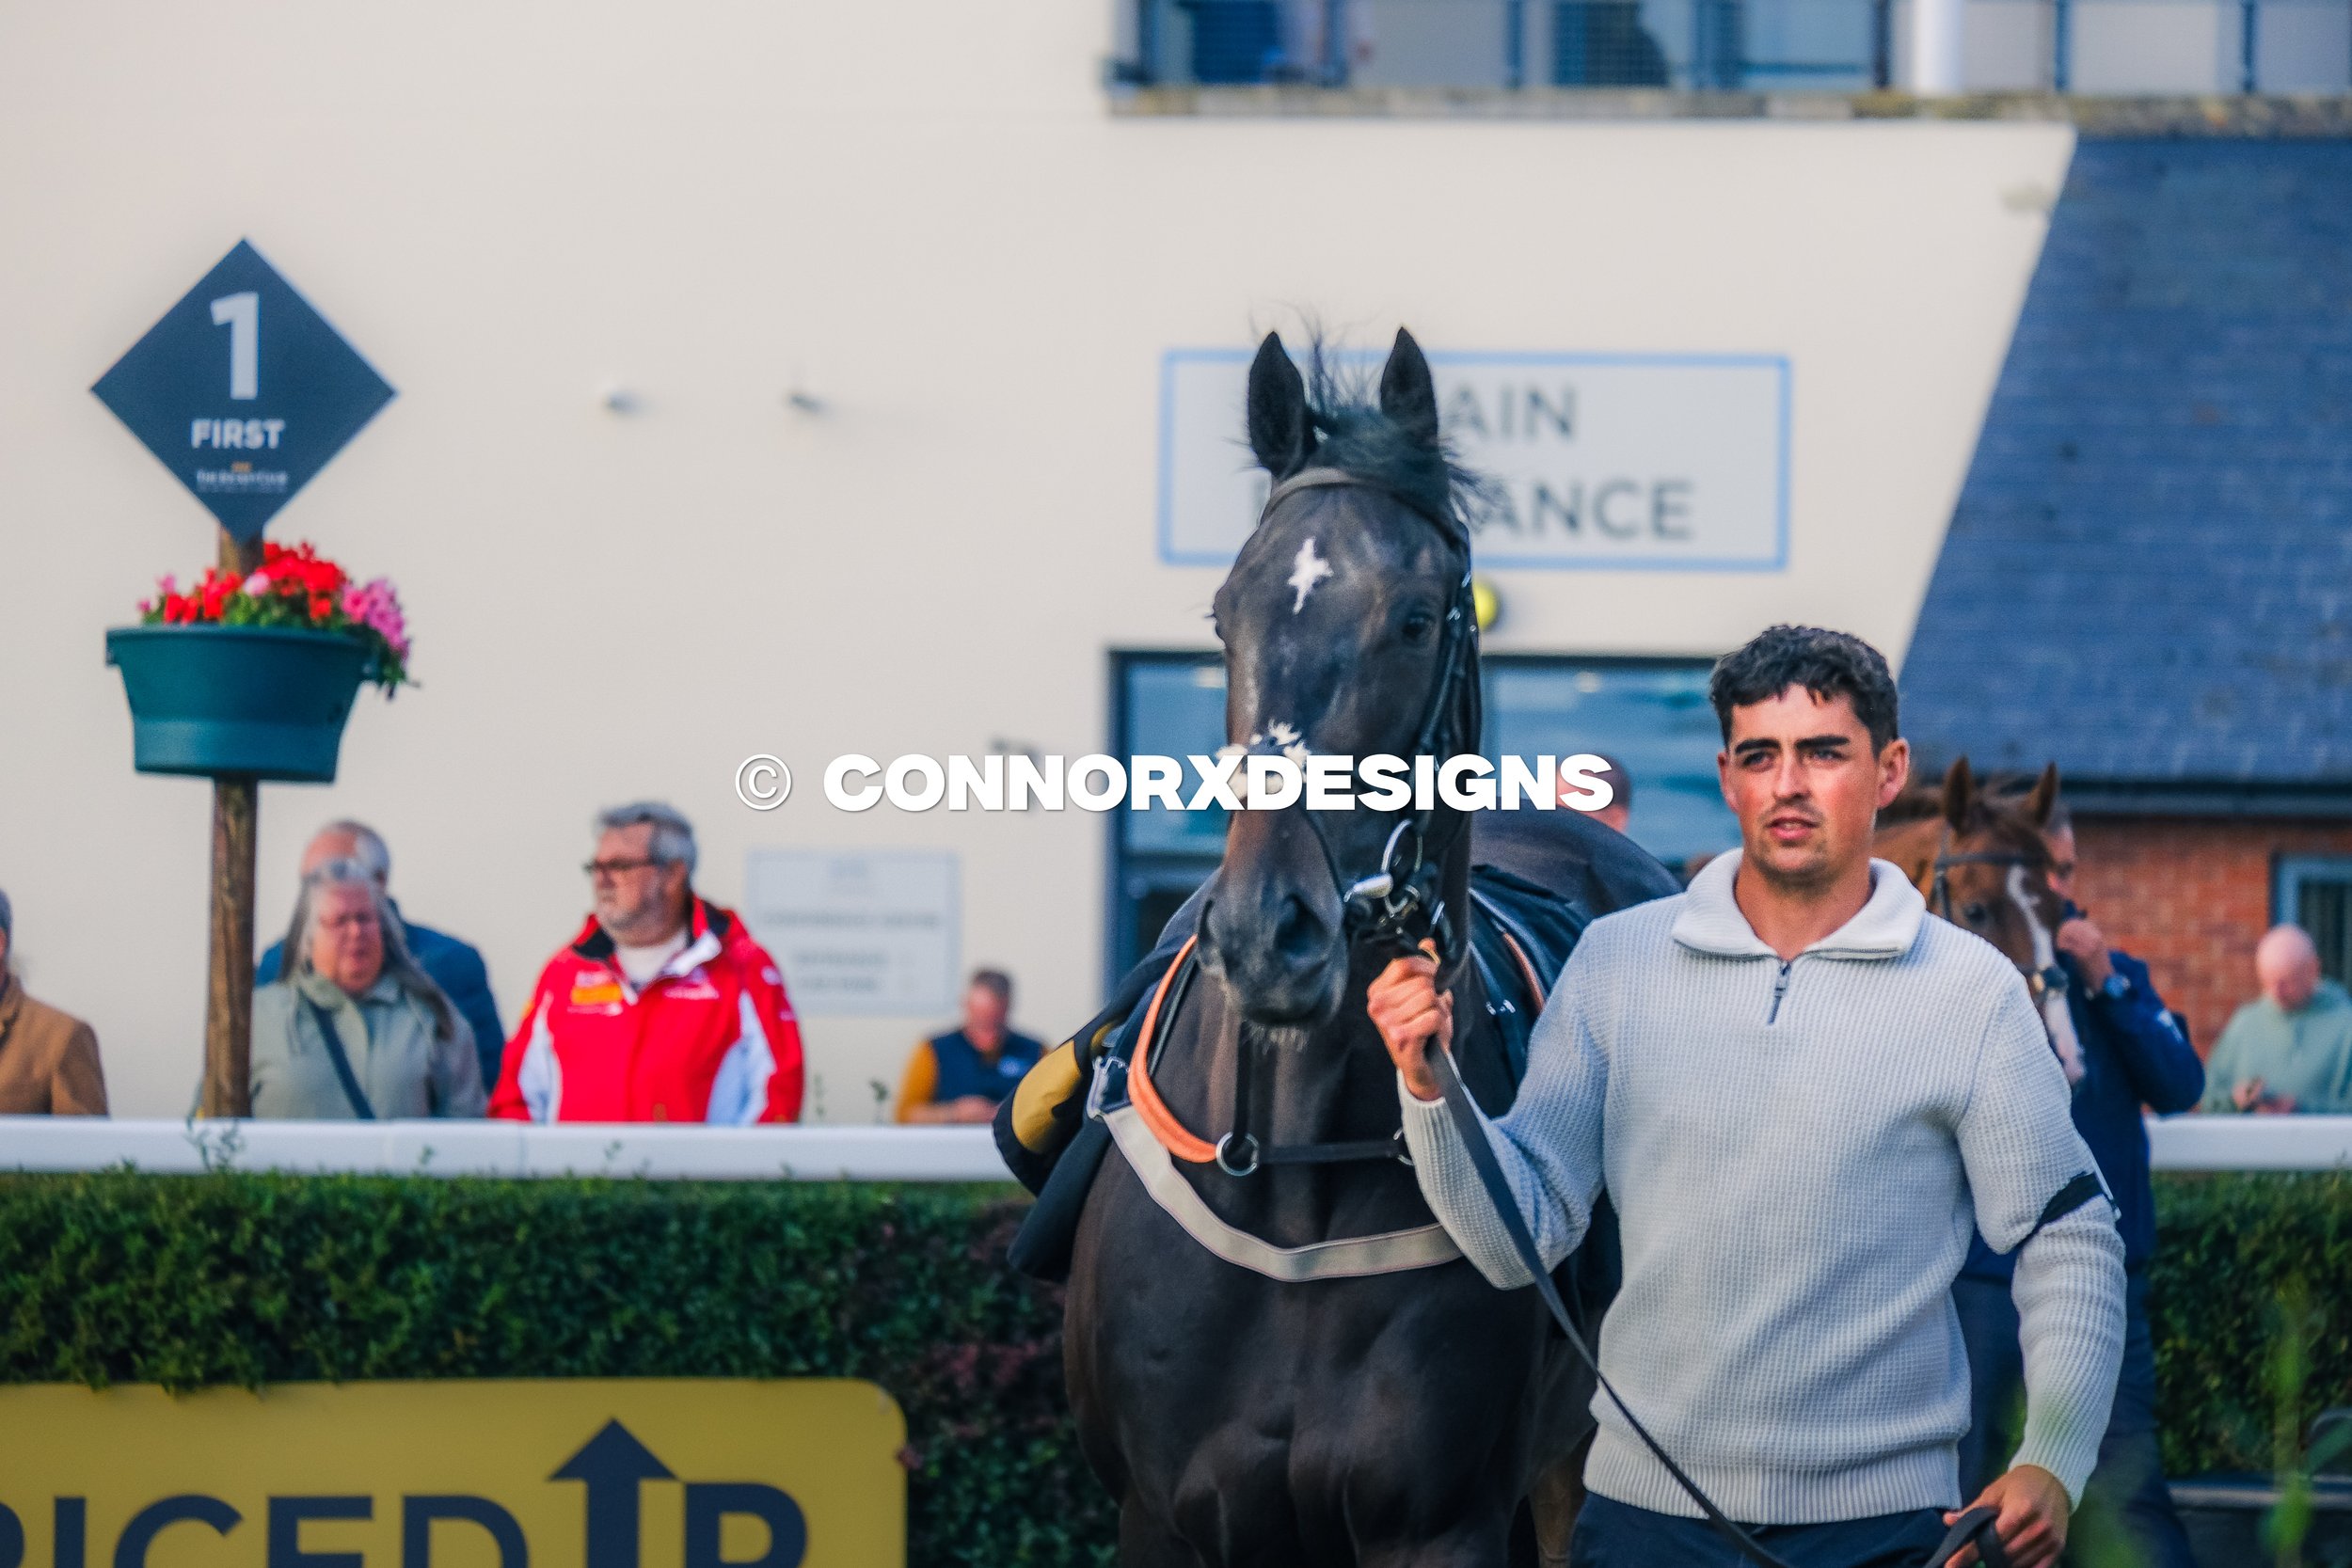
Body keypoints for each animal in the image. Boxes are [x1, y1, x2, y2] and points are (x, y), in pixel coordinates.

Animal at [1061, 329, 1678, 1568]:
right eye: (1224, 613)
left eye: (1416, 615)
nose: (1266, 933)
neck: (1294, 1173)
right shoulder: (1161, 1514)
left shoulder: (1440, 1519)